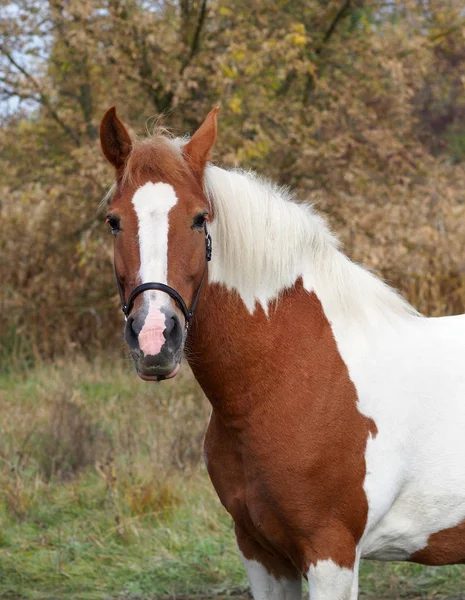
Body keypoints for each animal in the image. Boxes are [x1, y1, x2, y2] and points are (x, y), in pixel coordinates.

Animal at [98, 108, 464, 600]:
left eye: (199, 219)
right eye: (114, 221)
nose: (155, 338)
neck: (290, 377)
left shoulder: (331, 555)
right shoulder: (260, 551)